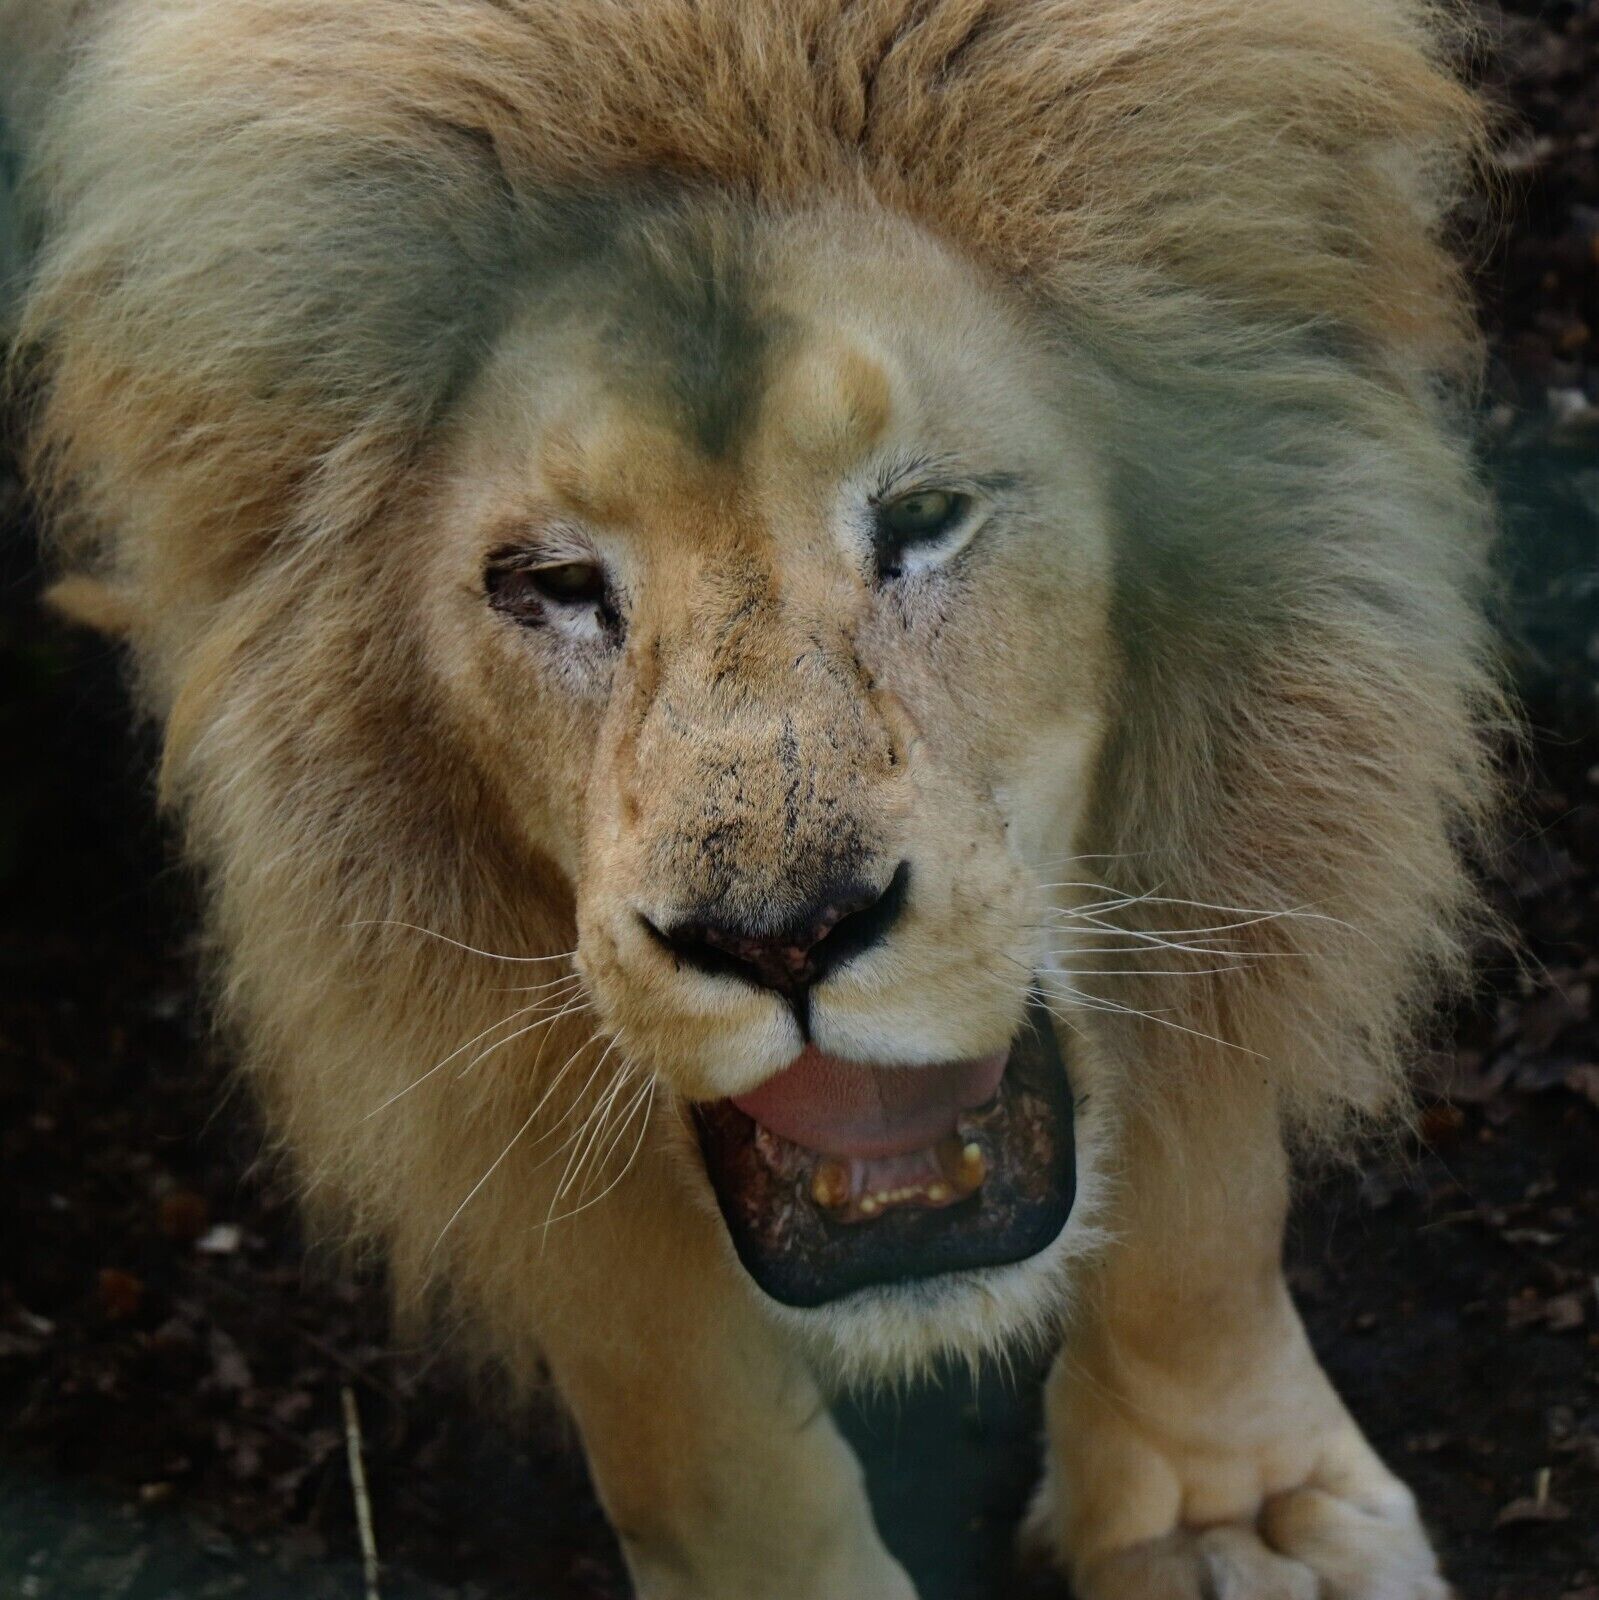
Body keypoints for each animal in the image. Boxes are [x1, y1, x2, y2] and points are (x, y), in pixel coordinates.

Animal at [4, 1, 1503, 1595]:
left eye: (924, 517)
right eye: (550, 583)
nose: (781, 939)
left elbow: (1206, 1177)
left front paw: (1232, 1514)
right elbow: (674, 1384)